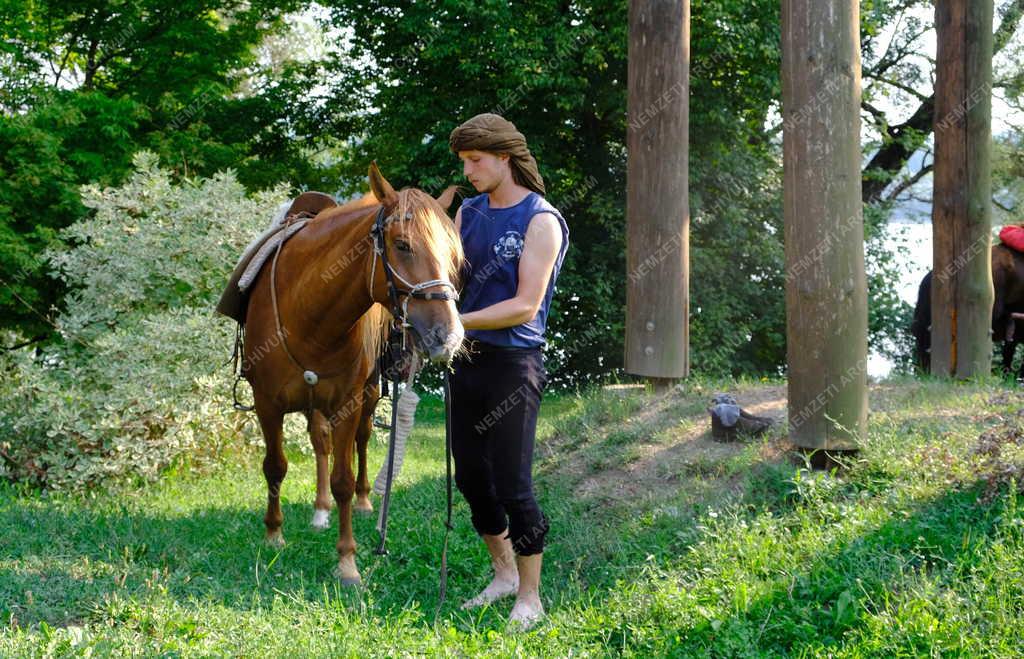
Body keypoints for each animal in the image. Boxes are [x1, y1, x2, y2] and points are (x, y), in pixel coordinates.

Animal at [239, 161, 464, 585]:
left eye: (454, 255)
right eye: (402, 245)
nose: (449, 336)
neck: (309, 314)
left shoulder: (348, 401)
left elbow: (343, 478)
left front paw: (347, 560)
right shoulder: (266, 403)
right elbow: (275, 466)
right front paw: (273, 534)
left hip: (369, 393)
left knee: (359, 441)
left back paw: (360, 501)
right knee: (319, 443)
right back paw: (319, 509)